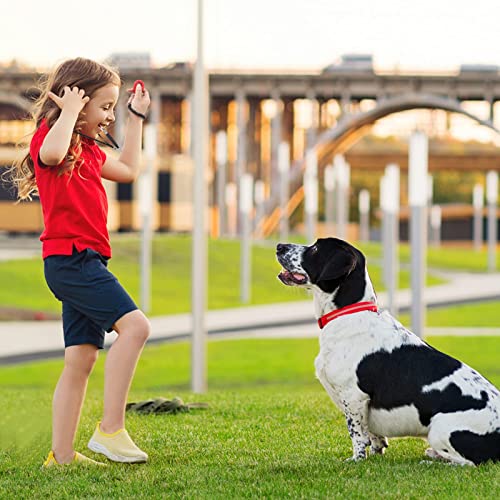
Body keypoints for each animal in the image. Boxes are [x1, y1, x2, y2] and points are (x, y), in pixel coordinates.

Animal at [278, 237, 500, 464]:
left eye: (315, 248)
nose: (279, 246)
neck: (348, 314)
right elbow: (372, 434)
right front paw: (377, 453)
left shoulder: (353, 396)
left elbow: (357, 434)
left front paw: (357, 459)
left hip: (441, 429)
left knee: (468, 462)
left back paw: (431, 460)